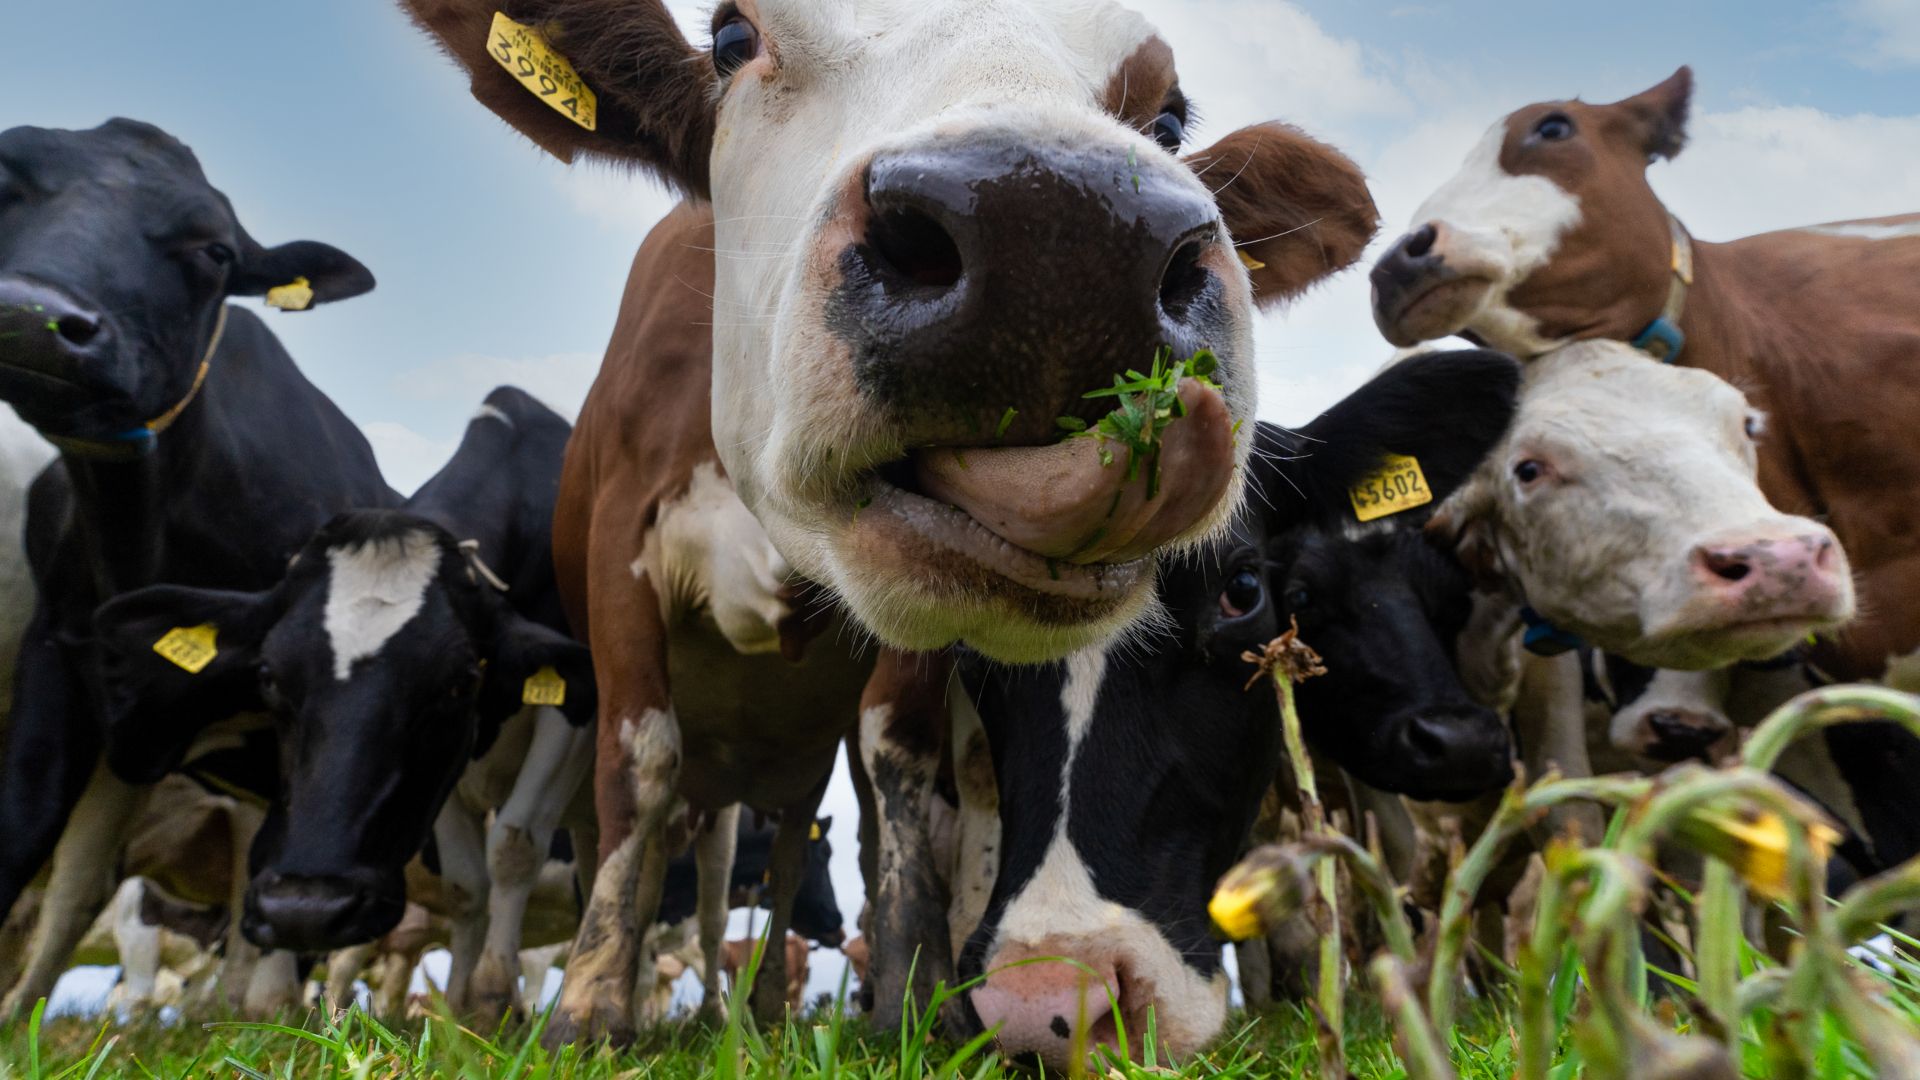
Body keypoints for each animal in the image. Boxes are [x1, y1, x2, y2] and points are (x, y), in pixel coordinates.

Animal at [91, 387, 598, 1020]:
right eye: (268, 676)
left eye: (459, 682)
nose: (306, 909)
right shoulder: (445, 773)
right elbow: (465, 884)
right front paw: (458, 1010)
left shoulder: (570, 712)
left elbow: (514, 845)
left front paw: (491, 1002)